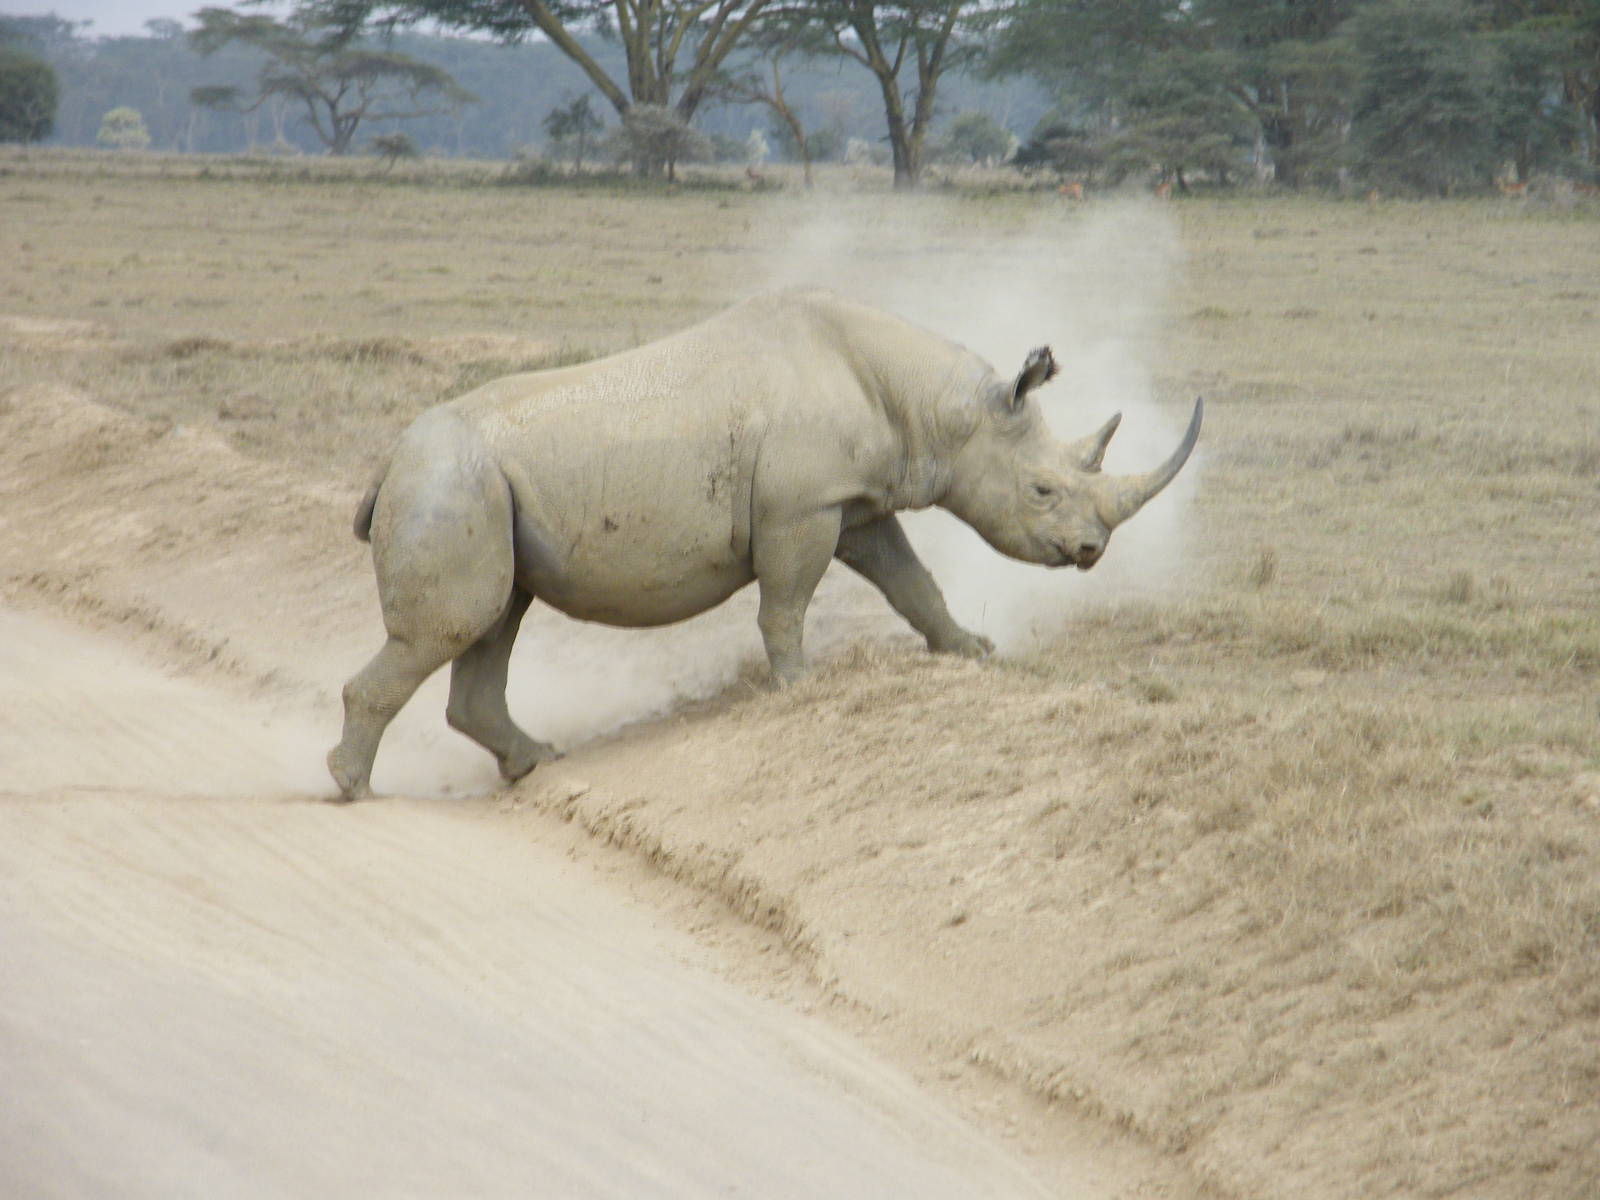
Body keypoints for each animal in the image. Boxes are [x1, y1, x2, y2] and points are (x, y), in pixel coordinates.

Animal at [328, 289, 1201, 801]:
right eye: (1043, 491)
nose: (1090, 551)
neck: (936, 408)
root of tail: (388, 461)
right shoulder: (801, 507)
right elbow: (786, 603)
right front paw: (797, 689)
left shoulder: (854, 502)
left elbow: (911, 582)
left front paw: (972, 651)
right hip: (451, 482)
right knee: (455, 625)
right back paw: (356, 791)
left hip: (477, 489)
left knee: (495, 618)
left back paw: (537, 761)